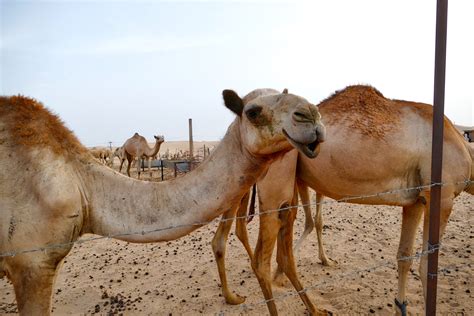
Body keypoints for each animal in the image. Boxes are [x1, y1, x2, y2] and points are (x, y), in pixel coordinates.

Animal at [212, 84, 474, 316]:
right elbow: (427, 266)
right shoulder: (442, 194)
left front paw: (401, 306)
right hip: (275, 185)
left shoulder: (416, 201)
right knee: (259, 257)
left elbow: (404, 257)